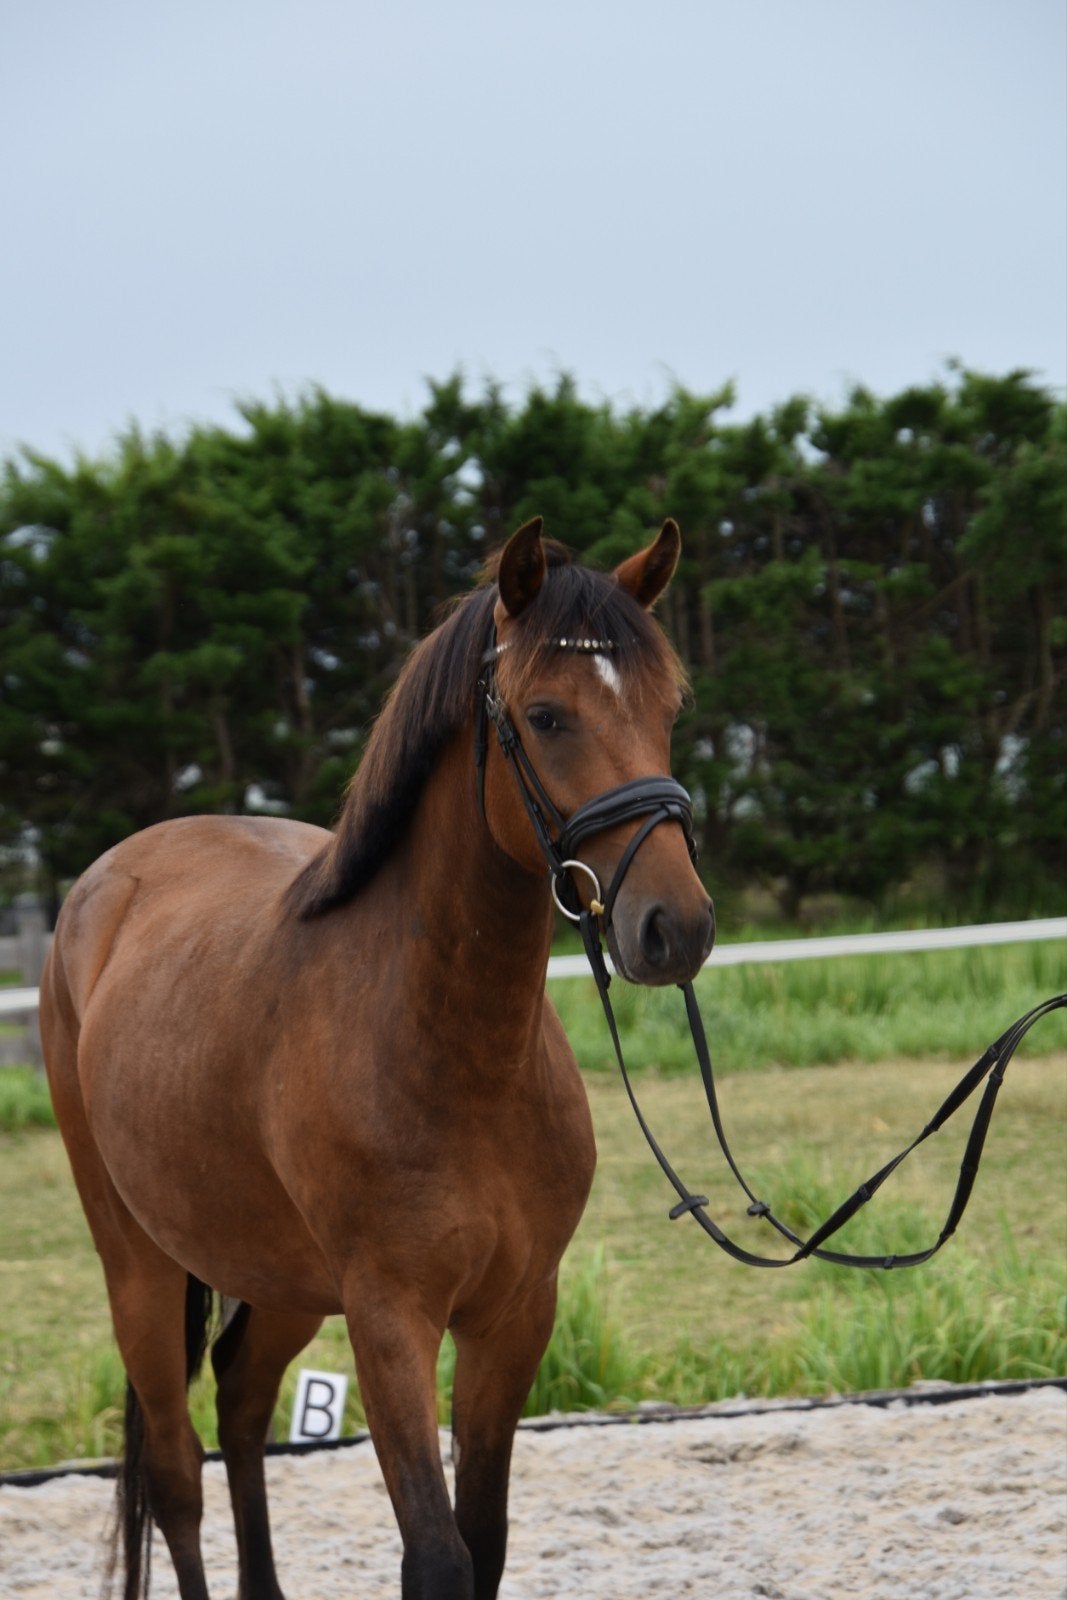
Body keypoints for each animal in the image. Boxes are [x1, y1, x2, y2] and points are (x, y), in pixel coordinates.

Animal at [40, 515, 715, 1600]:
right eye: (545, 715)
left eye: (667, 708)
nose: (675, 927)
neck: (448, 1052)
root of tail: (101, 891)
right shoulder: (389, 1317)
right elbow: (435, 1554)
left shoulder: (513, 1313)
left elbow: (483, 1539)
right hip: (137, 1263)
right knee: (178, 1476)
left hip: (276, 1274)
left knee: (239, 1403)